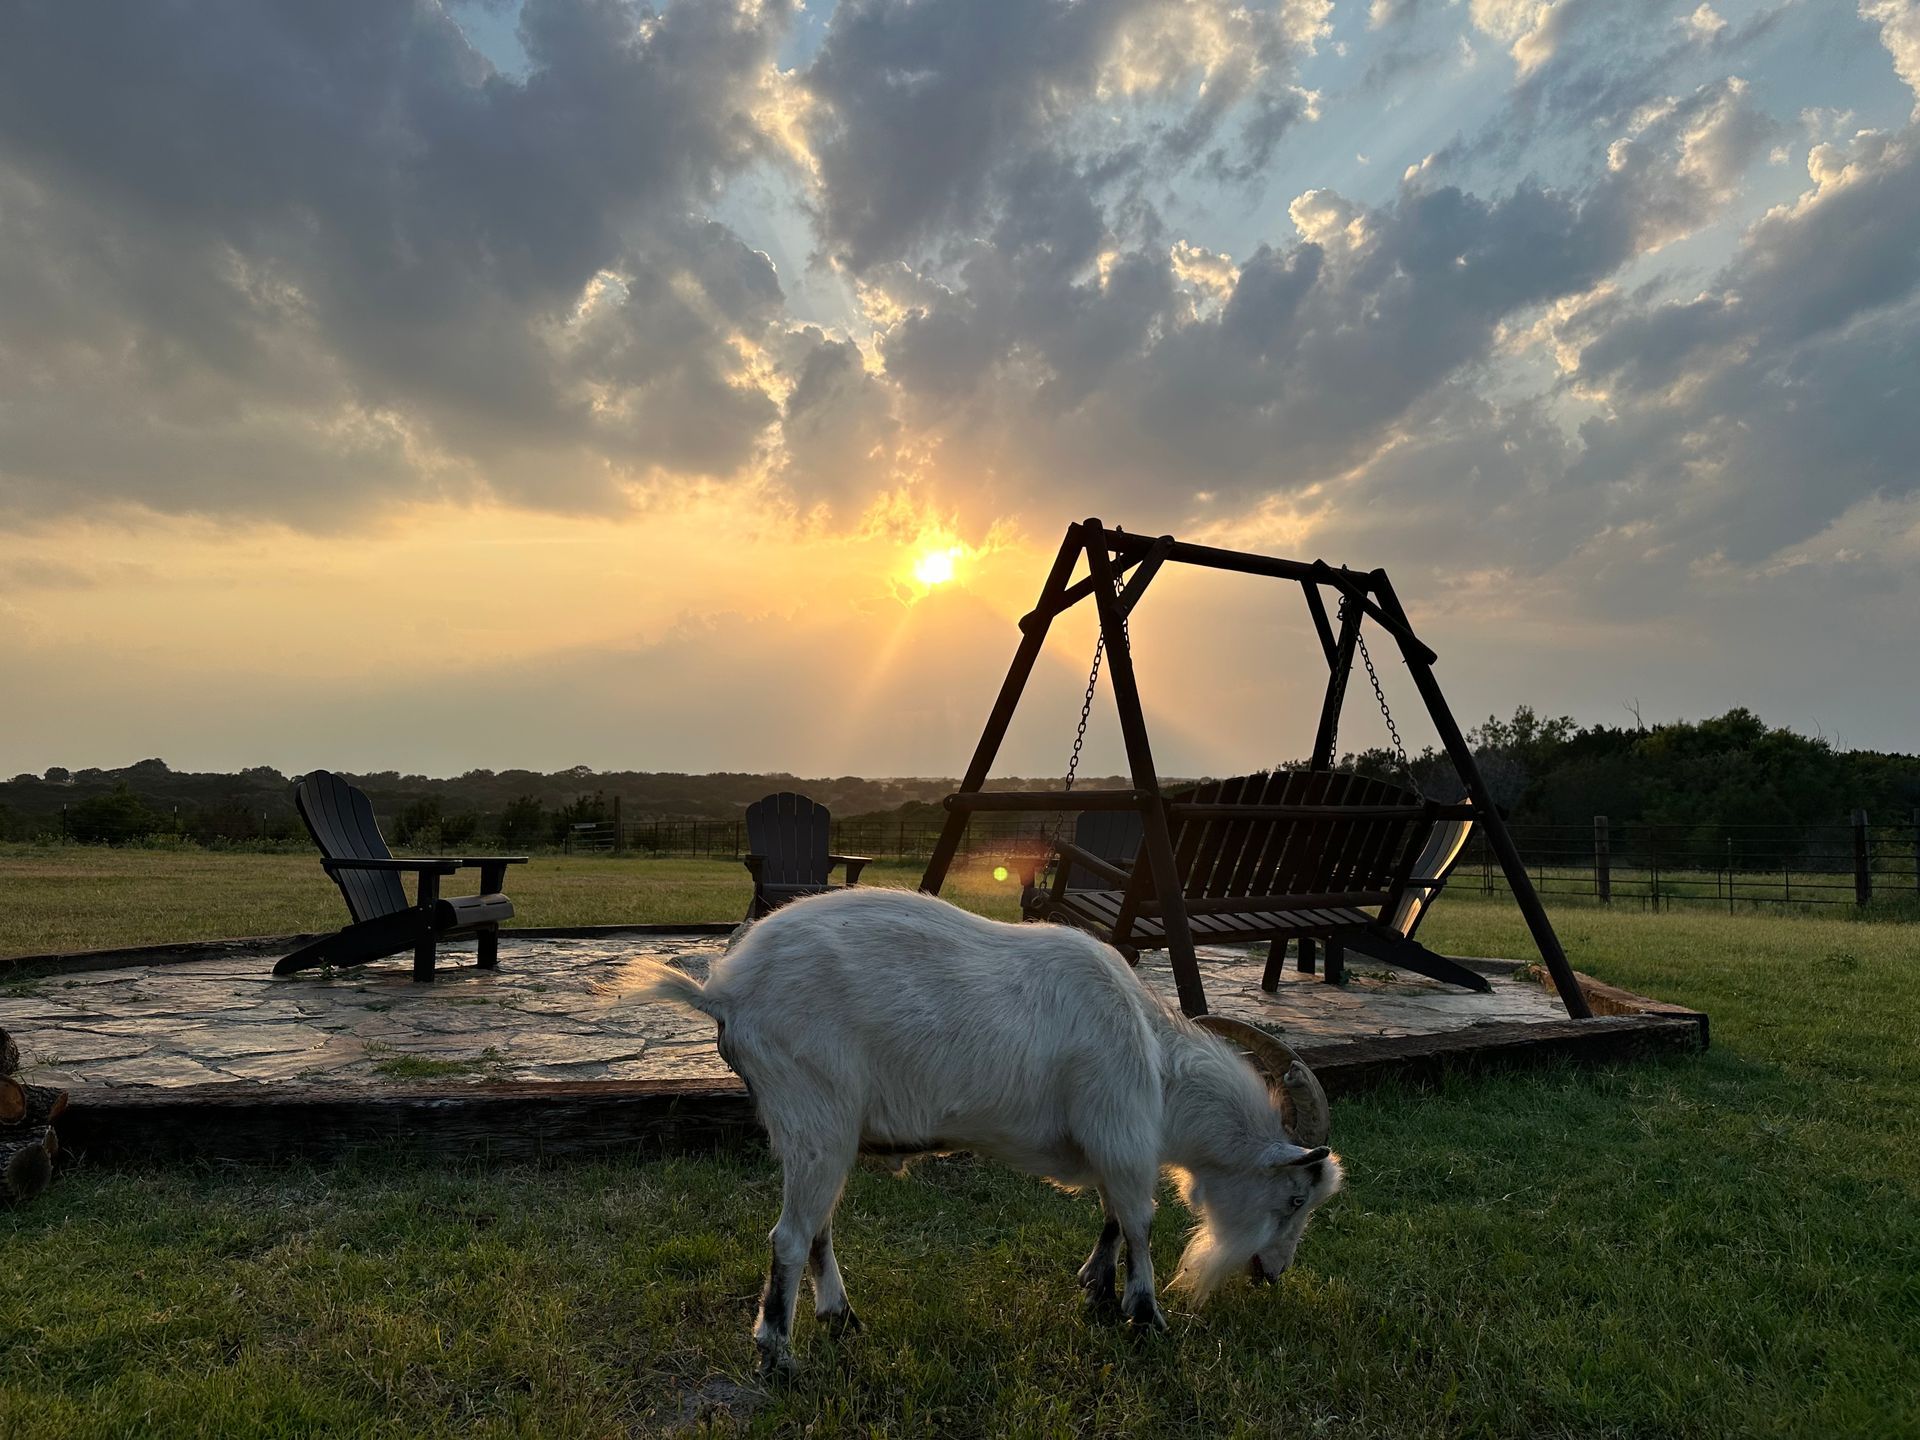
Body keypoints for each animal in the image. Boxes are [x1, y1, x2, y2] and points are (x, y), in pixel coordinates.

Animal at [624, 886, 1342, 1370]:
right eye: (1295, 1199)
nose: (1272, 1273)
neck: (1155, 1060)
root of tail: (725, 992)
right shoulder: (1119, 1129)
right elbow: (1138, 1221)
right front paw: (1146, 1317)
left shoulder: (1109, 1144)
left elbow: (1112, 1215)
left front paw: (1099, 1292)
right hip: (814, 1112)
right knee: (791, 1235)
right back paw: (778, 1354)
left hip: (819, 1130)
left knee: (819, 1226)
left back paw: (841, 1318)